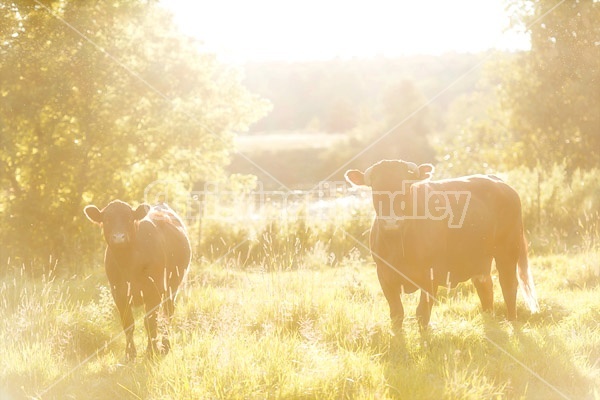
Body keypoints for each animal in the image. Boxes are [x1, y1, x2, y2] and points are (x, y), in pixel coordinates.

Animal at [84, 200, 190, 360]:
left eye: (129, 218)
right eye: (107, 219)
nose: (119, 237)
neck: (129, 263)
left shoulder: (154, 291)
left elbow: (150, 322)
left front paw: (151, 351)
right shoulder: (119, 294)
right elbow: (128, 324)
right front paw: (130, 353)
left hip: (172, 287)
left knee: (168, 314)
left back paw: (165, 346)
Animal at [344, 159, 540, 332]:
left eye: (407, 186)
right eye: (375, 187)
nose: (392, 220)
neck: (398, 244)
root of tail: (498, 181)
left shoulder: (430, 275)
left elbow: (422, 313)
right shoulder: (384, 275)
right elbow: (397, 313)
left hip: (507, 251)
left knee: (508, 287)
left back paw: (512, 322)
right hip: (479, 260)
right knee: (485, 288)